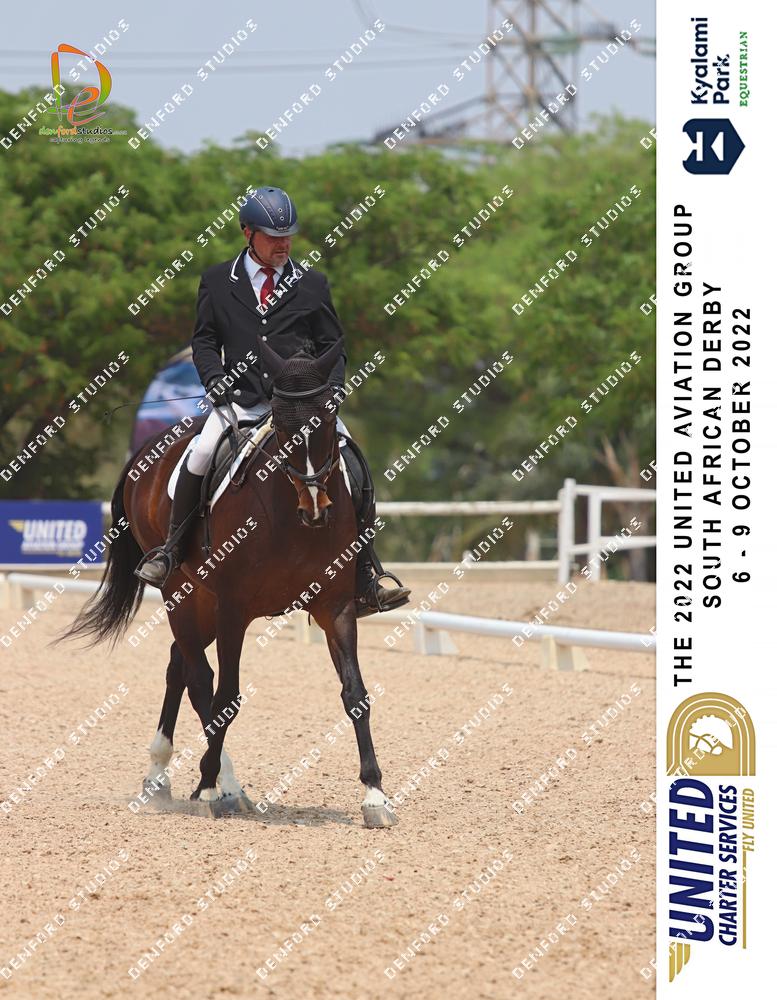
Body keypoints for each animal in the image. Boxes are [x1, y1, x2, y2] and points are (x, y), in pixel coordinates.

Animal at [62, 338, 397, 828]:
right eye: (282, 423)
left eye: (327, 418)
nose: (316, 507)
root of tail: (150, 448)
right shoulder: (233, 609)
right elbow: (226, 698)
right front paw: (211, 787)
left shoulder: (335, 606)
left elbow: (355, 693)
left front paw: (375, 795)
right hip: (182, 594)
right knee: (199, 678)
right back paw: (218, 784)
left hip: (201, 601)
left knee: (179, 665)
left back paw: (170, 777)